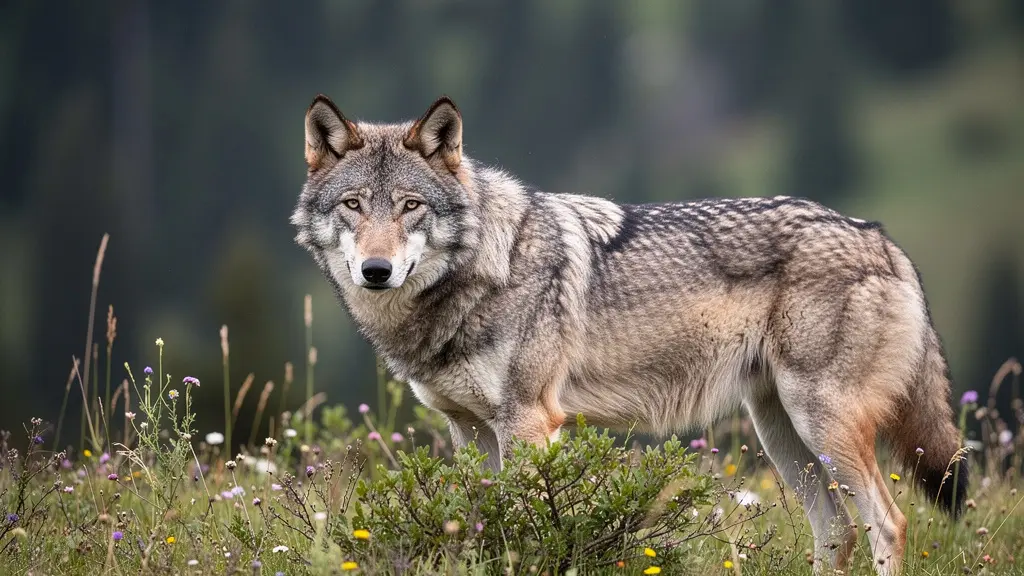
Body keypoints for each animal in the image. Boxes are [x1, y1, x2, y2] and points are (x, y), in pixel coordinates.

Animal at [291, 95, 967, 574]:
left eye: (411, 206)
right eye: (354, 205)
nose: (375, 270)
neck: (482, 270)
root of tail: (880, 237)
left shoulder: (530, 422)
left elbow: (526, 529)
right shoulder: (471, 430)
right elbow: (484, 529)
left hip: (821, 423)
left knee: (888, 523)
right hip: (784, 436)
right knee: (837, 532)